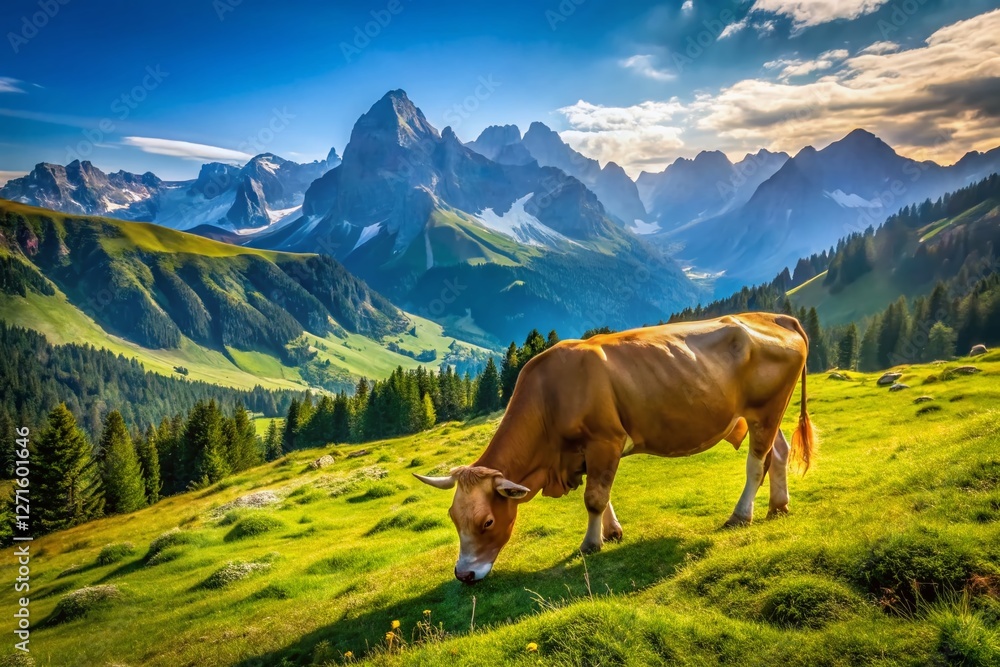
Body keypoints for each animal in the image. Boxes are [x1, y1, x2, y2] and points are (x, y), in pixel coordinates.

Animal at [415, 313, 816, 584]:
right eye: (453, 518)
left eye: (487, 522)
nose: (464, 574)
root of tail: (773, 316)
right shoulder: (588, 451)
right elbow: (602, 493)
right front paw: (612, 532)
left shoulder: (604, 439)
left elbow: (594, 497)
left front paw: (591, 544)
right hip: (769, 414)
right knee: (778, 454)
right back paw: (778, 506)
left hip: (767, 409)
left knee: (756, 464)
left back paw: (741, 515)